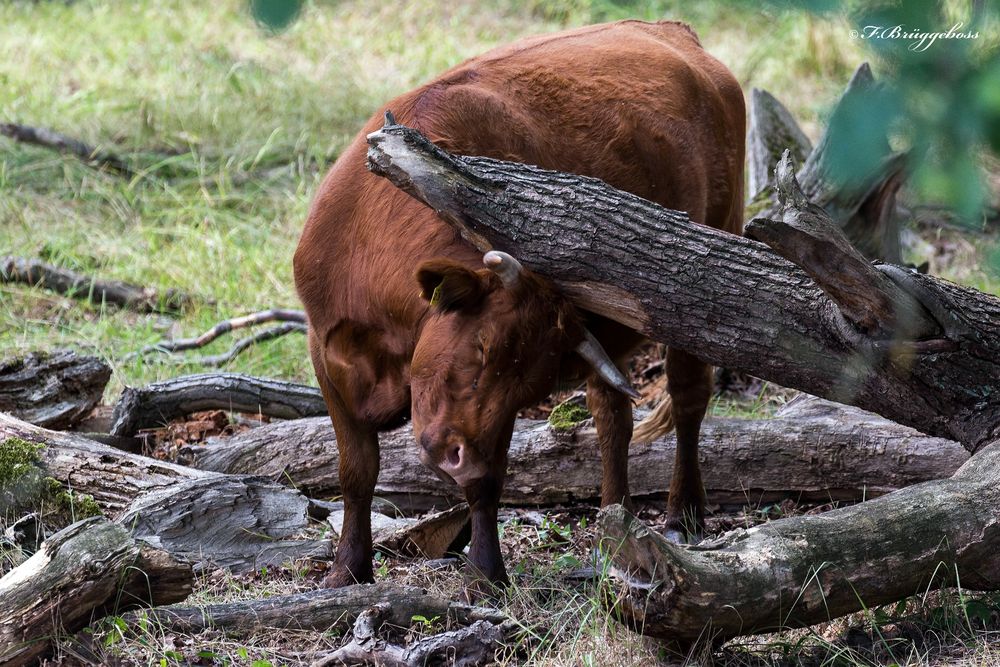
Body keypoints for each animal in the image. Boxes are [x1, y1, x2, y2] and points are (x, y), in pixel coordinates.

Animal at [292, 19, 748, 596]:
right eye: (481, 349)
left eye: (527, 387)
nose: (458, 460)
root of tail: (671, 30)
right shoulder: (325, 350)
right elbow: (357, 472)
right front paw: (348, 570)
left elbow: (488, 483)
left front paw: (486, 573)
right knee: (612, 417)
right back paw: (614, 526)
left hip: (709, 279)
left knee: (688, 399)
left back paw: (681, 515)